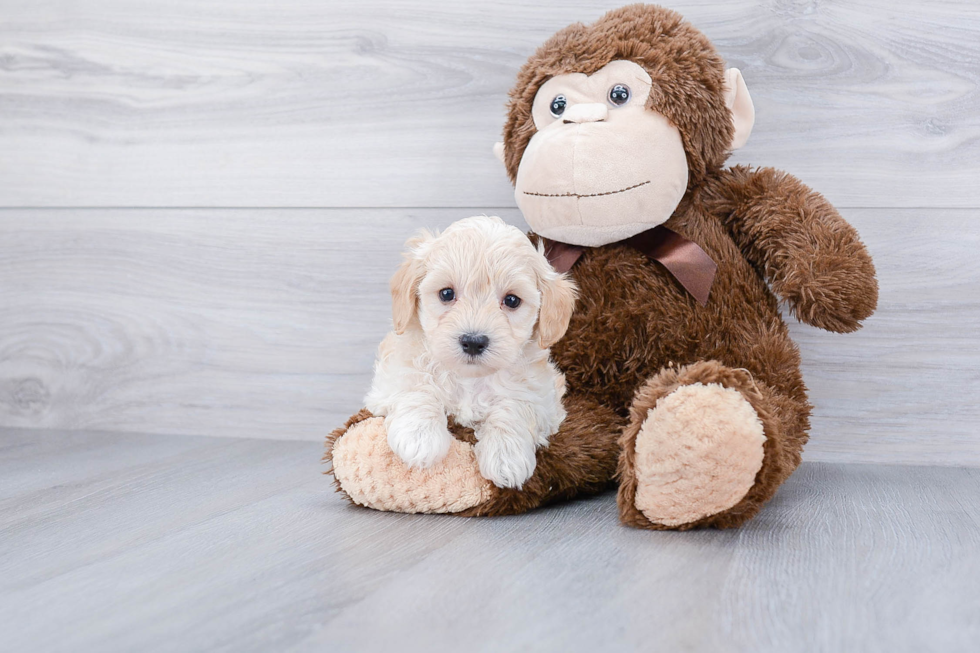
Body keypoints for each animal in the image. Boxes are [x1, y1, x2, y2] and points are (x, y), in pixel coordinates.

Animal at [366, 216, 580, 486]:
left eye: (512, 300)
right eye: (447, 293)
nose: (474, 341)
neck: (469, 379)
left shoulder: (545, 399)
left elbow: (515, 405)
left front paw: (505, 456)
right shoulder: (389, 379)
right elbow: (416, 385)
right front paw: (420, 437)